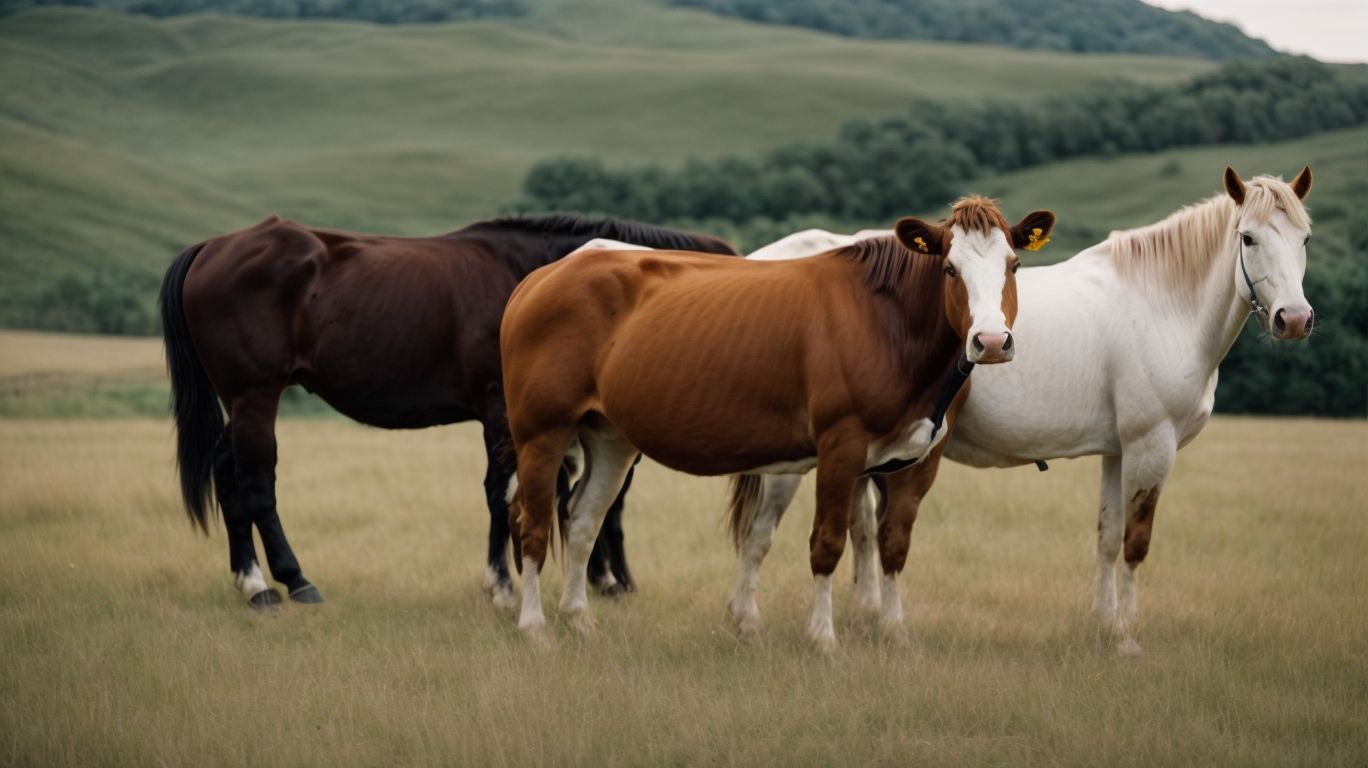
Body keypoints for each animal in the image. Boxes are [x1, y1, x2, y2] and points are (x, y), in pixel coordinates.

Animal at [158, 214, 739, 610]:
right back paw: (293, 579)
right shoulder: (502, 411)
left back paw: (252, 583)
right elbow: (508, 492)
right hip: (255, 395)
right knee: (256, 483)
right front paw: (505, 584)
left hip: (241, 401)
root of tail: (212, 247)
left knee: (228, 475)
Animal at [499, 197, 1056, 649]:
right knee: (532, 522)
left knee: (582, 520)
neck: (888, 325)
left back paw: (579, 620)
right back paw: (534, 627)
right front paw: (823, 638)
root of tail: (542, 277)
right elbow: (827, 543)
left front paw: (896, 634)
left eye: (1014, 264)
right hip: (541, 432)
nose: (990, 341)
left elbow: (893, 544)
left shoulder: (921, 457)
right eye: (949, 269)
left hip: (610, 437)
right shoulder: (840, 446)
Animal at [736, 166, 1315, 655]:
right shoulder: (1152, 447)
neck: (1159, 302)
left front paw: (1105, 627)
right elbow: (1135, 543)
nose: (1294, 319)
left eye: (1305, 238)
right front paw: (1128, 638)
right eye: (1248, 238)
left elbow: (1107, 538)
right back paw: (749, 623)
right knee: (761, 533)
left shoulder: (1118, 451)